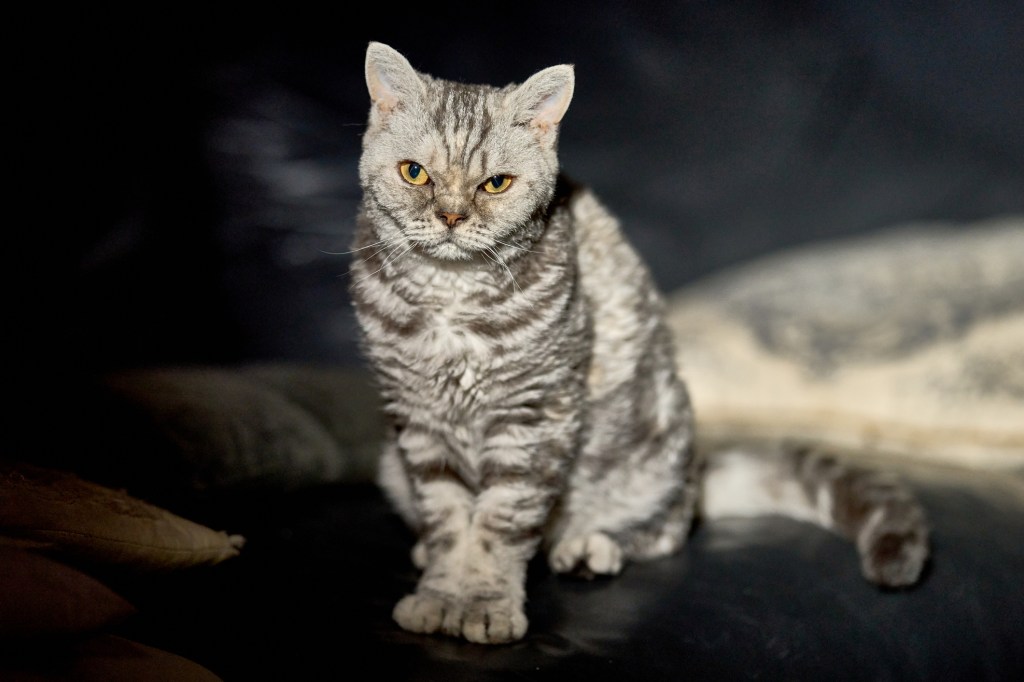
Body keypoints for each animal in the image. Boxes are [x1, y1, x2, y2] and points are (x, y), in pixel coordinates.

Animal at [346, 43, 929, 643]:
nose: (451, 216)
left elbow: (499, 522)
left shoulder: (535, 414)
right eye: (414, 173)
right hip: (391, 463)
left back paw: (589, 546)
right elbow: (447, 520)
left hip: (658, 452)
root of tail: (695, 474)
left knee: (665, 529)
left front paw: (484, 601)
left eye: (496, 184)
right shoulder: (418, 419)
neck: (450, 295)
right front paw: (441, 593)